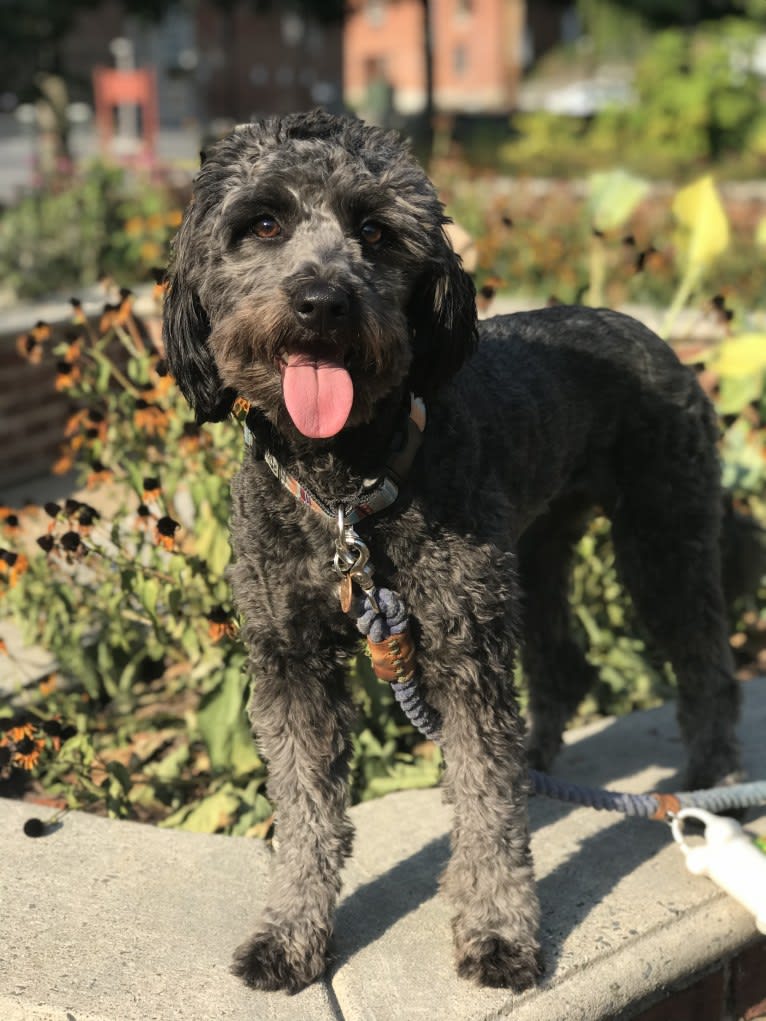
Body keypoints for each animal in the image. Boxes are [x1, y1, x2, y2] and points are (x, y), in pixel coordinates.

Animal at [163, 113, 743, 996]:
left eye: (375, 231)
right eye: (261, 223)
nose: (321, 300)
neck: (347, 484)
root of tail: (656, 335)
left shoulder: (460, 650)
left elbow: (485, 804)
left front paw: (499, 932)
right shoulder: (290, 659)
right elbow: (304, 811)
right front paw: (290, 933)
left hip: (660, 537)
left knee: (707, 662)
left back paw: (713, 779)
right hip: (531, 554)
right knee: (562, 664)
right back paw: (539, 756)